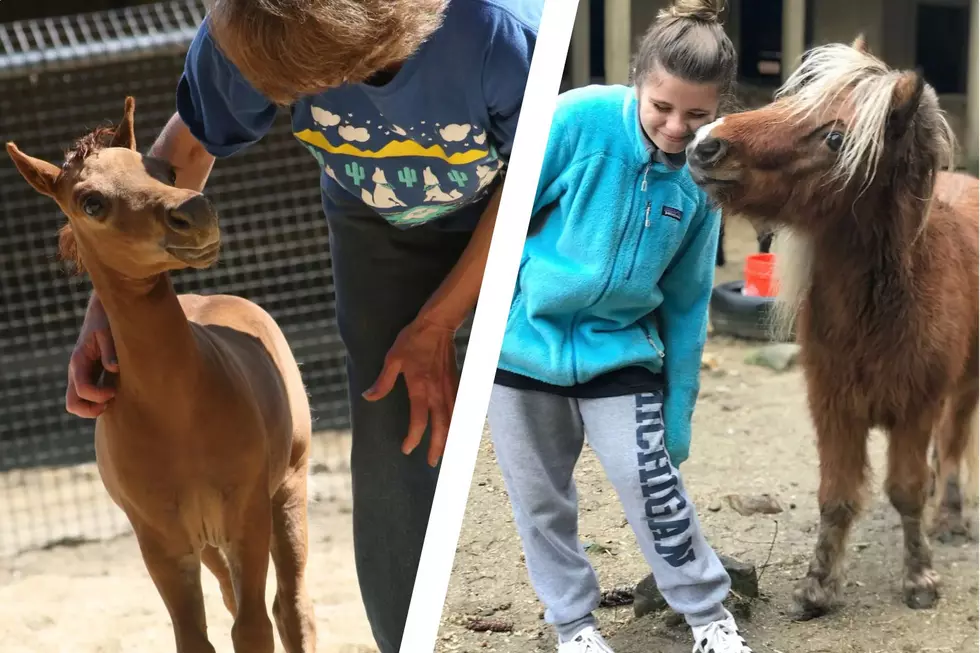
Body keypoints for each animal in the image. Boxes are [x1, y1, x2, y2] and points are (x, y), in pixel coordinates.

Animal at [4, 97, 318, 652]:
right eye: (91, 202)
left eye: (164, 170)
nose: (194, 214)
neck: (177, 412)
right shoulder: (162, 545)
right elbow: (196, 637)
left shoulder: (246, 519)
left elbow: (253, 628)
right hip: (209, 543)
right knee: (241, 599)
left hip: (287, 491)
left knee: (291, 607)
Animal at [684, 38, 976, 620]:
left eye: (835, 137)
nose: (705, 145)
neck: (884, 310)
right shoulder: (833, 405)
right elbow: (836, 497)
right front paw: (818, 587)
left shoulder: (916, 407)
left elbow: (907, 490)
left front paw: (920, 578)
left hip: (967, 385)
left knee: (954, 443)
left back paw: (952, 517)